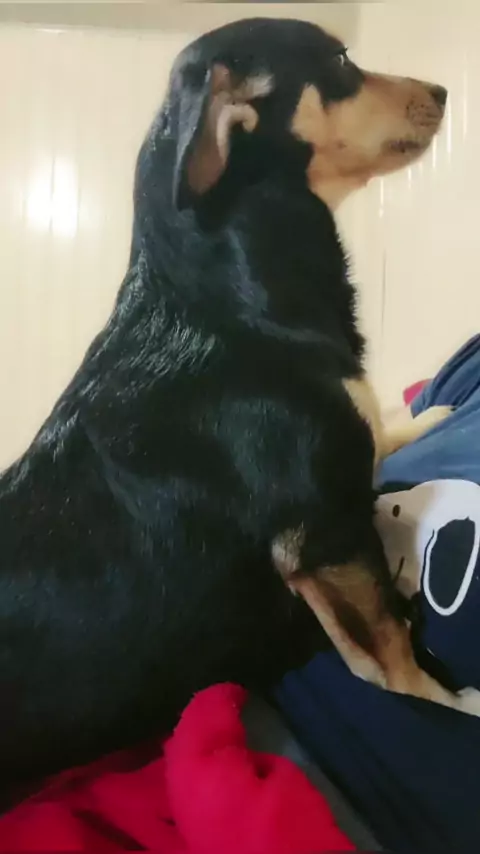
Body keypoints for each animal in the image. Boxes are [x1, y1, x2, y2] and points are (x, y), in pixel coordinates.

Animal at [0, 17, 472, 789]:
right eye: (342, 59)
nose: (442, 90)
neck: (229, 293)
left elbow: (380, 427)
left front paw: (424, 414)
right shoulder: (326, 537)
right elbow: (389, 657)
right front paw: (454, 704)